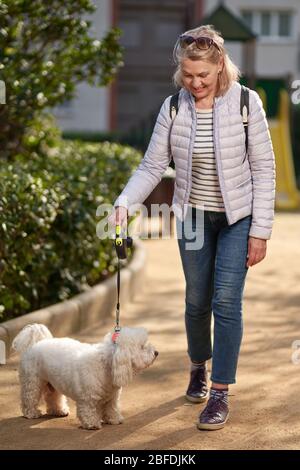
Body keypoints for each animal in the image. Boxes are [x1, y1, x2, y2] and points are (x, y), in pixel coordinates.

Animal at [12, 324, 158, 430]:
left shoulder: (111, 398)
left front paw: (114, 419)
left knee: (53, 397)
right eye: (142, 347)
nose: (156, 352)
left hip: (53, 384)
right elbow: (88, 411)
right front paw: (92, 424)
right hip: (32, 382)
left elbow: (111, 409)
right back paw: (31, 413)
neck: (105, 364)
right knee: (29, 398)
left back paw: (59, 410)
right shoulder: (87, 399)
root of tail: (35, 344)